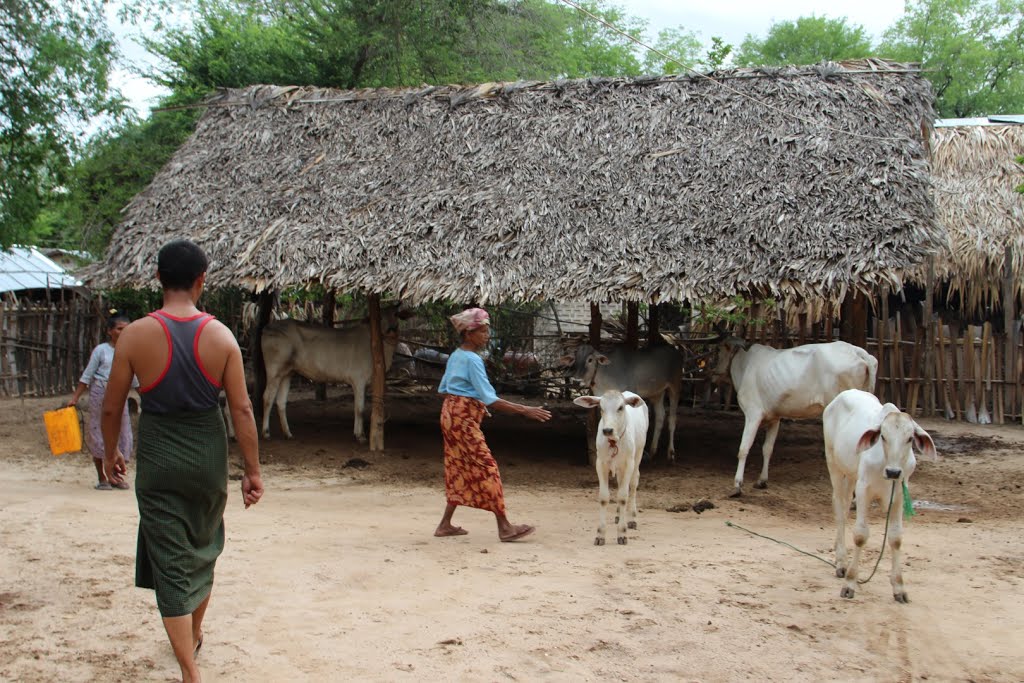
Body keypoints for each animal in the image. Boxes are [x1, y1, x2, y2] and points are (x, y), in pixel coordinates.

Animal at [260, 311, 399, 444]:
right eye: (380, 317)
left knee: (281, 401)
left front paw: (356, 433)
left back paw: (288, 434)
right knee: (267, 398)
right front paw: (361, 437)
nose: (392, 329)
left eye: (396, 314)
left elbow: (357, 408)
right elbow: (360, 409)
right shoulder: (359, 380)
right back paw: (266, 433)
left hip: (287, 373)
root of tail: (267, 328)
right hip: (274, 370)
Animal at [573, 389, 643, 544]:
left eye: (620, 407)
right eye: (601, 408)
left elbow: (623, 496)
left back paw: (632, 518)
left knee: (633, 484)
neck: (614, 442)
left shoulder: (629, 463)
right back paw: (618, 515)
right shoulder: (601, 464)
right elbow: (604, 498)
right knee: (620, 483)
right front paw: (600, 535)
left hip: (638, 455)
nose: (607, 430)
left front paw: (622, 533)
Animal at [712, 337, 880, 493]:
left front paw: (737, 485)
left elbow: (744, 448)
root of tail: (858, 351)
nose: (712, 374)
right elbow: (767, 449)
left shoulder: (753, 414)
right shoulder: (774, 418)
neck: (744, 364)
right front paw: (761, 481)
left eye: (718, 350)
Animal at [823, 389, 937, 602]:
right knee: (839, 509)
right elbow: (860, 535)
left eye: (910, 439)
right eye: (883, 436)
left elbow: (895, 537)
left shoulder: (900, 493)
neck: (885, 463)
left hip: (851, 474)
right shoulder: (863, 489)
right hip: (833, 464)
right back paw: (841, 563)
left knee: (845, 505)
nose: (893, 472)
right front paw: (850, 583)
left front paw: (899, 587)